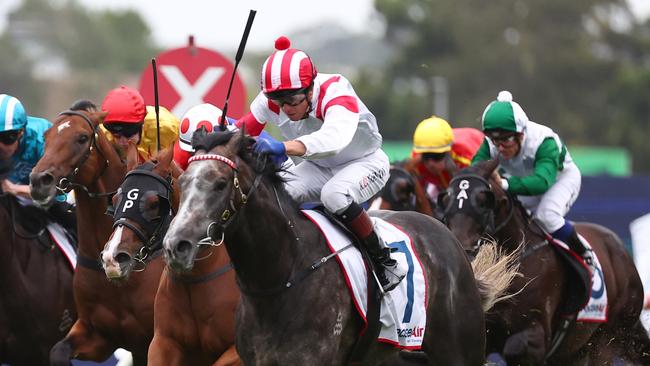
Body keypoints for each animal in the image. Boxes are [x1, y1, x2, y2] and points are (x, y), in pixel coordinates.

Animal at [100, 144, 242, 364]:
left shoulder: (237, 349)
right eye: (115, 200)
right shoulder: (163, 343)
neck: (196, 276)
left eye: (153, 203)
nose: (112, 258)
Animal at [440, 161, 648, 366]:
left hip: (608, 337)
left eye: (483, 200)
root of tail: (621, 251)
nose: (462, 248)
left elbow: (515, 348)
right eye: (447, 199)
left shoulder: (536, 335)